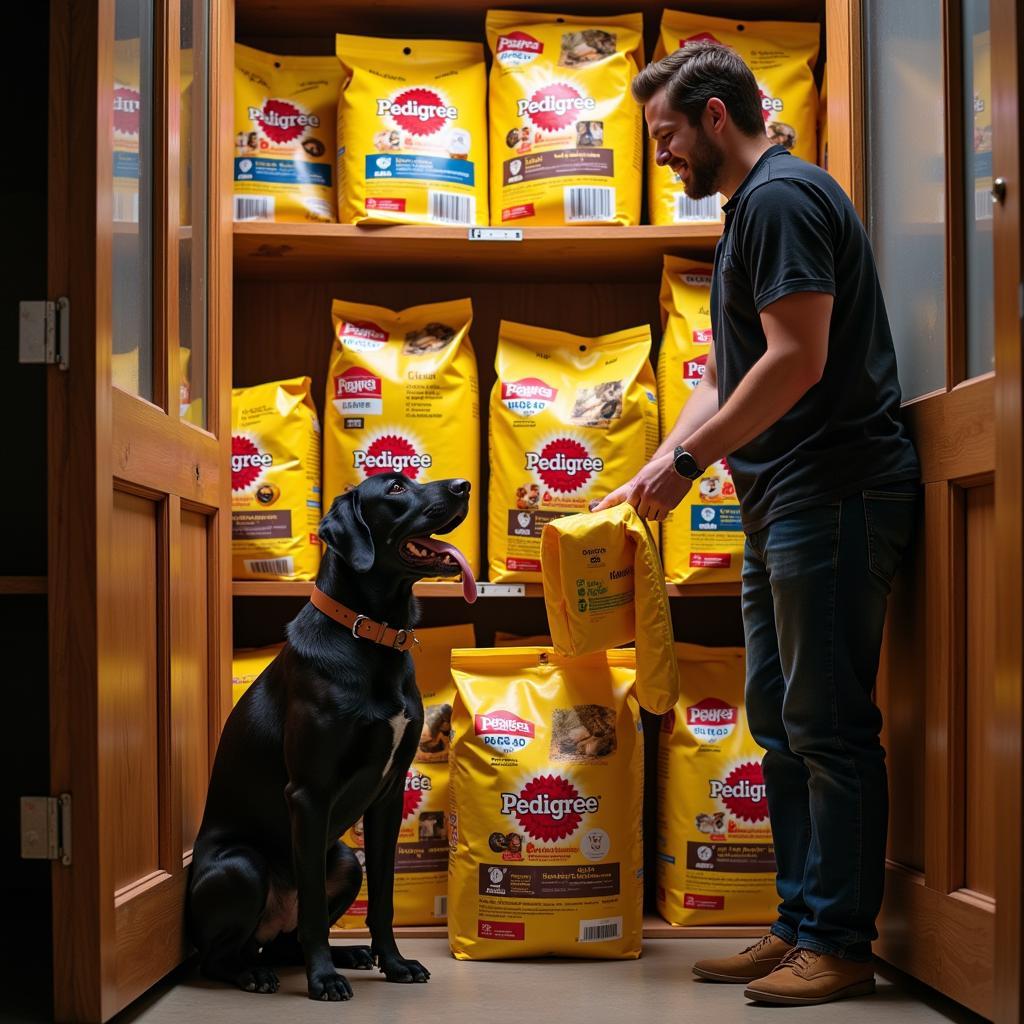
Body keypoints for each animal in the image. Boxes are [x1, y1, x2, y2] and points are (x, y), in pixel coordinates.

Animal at [187, 473, 471, 999]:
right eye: (396, 488)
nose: (463, 485)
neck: (373, 637)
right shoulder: (308, 794)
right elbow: (315, 910)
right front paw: (323, 980)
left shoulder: (389, 796)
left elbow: (383, 898)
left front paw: (394, 963)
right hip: (243, 867)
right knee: (222, 956)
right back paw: (254, 974)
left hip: (342, 860)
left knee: (285, 943)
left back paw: (350, 953)